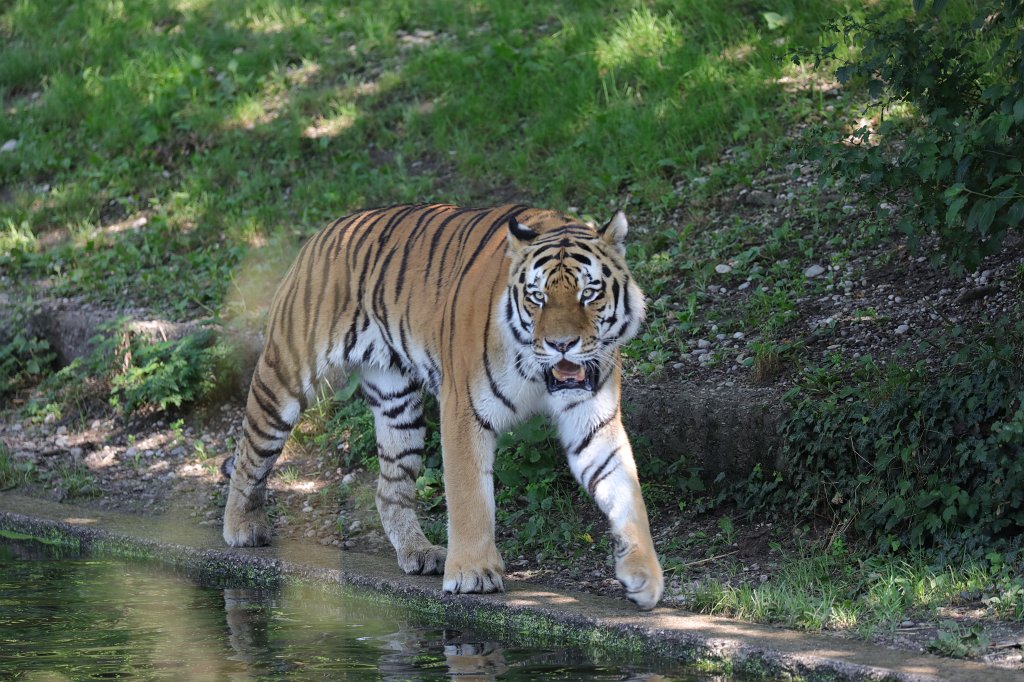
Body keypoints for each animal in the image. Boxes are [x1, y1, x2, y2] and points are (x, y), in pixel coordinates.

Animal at [222, 203, 664, 610]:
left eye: (589, 293)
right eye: (537, 297)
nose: (561, 345)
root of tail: (327, 230)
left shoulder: (595, 420)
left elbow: (625, 490)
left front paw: (644, 576)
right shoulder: (464, 410)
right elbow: (470, 496)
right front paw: (473, 573)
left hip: (397, 404)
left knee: (390, 488)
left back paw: (418, 553)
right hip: (286, 375)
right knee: (250, 449)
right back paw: (242, 527)